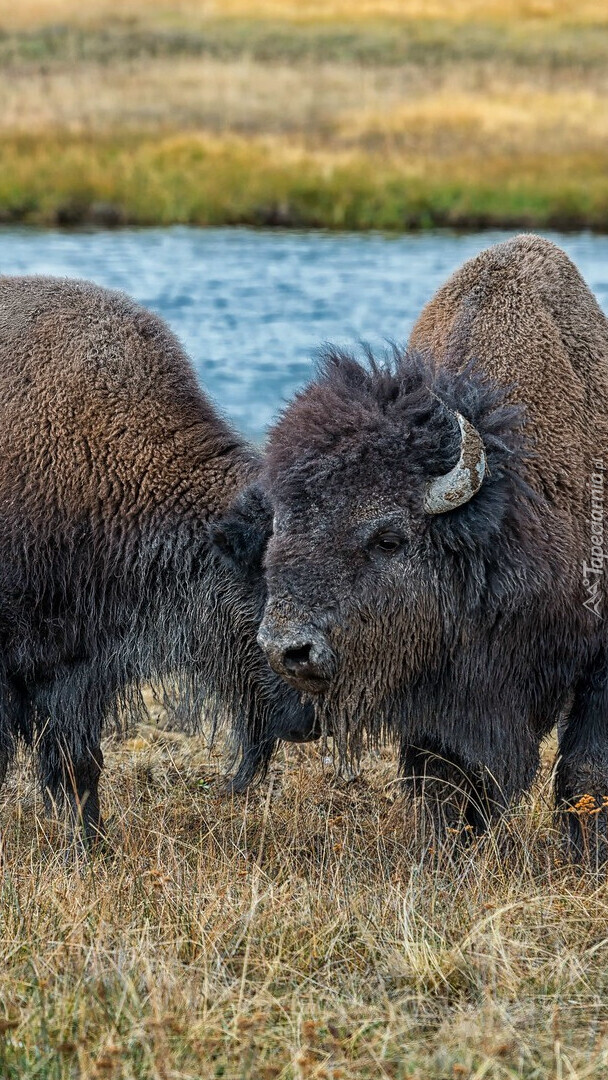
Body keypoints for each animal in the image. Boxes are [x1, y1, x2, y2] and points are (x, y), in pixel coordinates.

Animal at [214, 234, 608, 859]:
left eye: (388, 538)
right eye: (280, 530)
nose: (287, 650)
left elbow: (585, 771)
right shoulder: (437, 696)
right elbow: (443, 775)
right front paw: (444, 850)